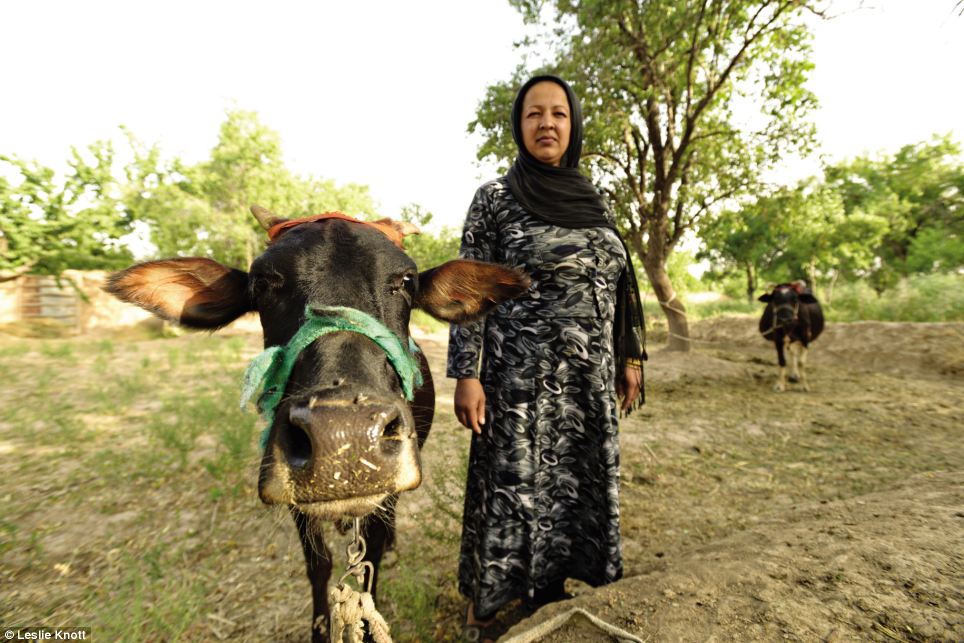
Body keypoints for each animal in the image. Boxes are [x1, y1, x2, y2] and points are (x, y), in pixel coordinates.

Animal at [108, 208, 532, 643]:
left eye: (405, 281)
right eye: (263, 283)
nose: (345, 437)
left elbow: (370, 562)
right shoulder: (298, 506)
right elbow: (319, 565)